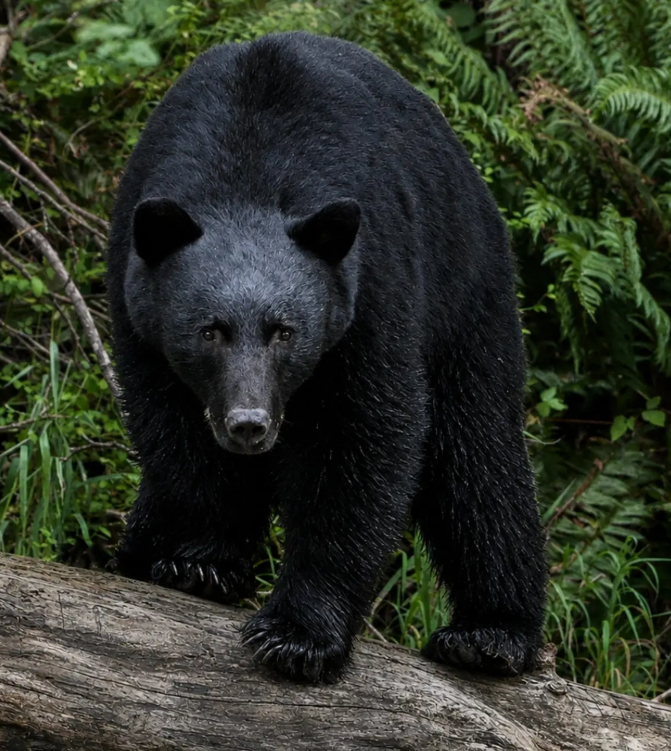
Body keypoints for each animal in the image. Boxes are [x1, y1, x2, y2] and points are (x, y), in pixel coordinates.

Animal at [106, 31, 547, 683]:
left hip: (468, 288)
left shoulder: (372, 287)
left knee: (478, 454)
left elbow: (360, 440)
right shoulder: (137, 301)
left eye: (284, 332)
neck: (247, 170)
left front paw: (297, 633)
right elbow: (175, 433)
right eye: (210, 331)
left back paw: (490, 633)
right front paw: (202, 562)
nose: (248, 424)